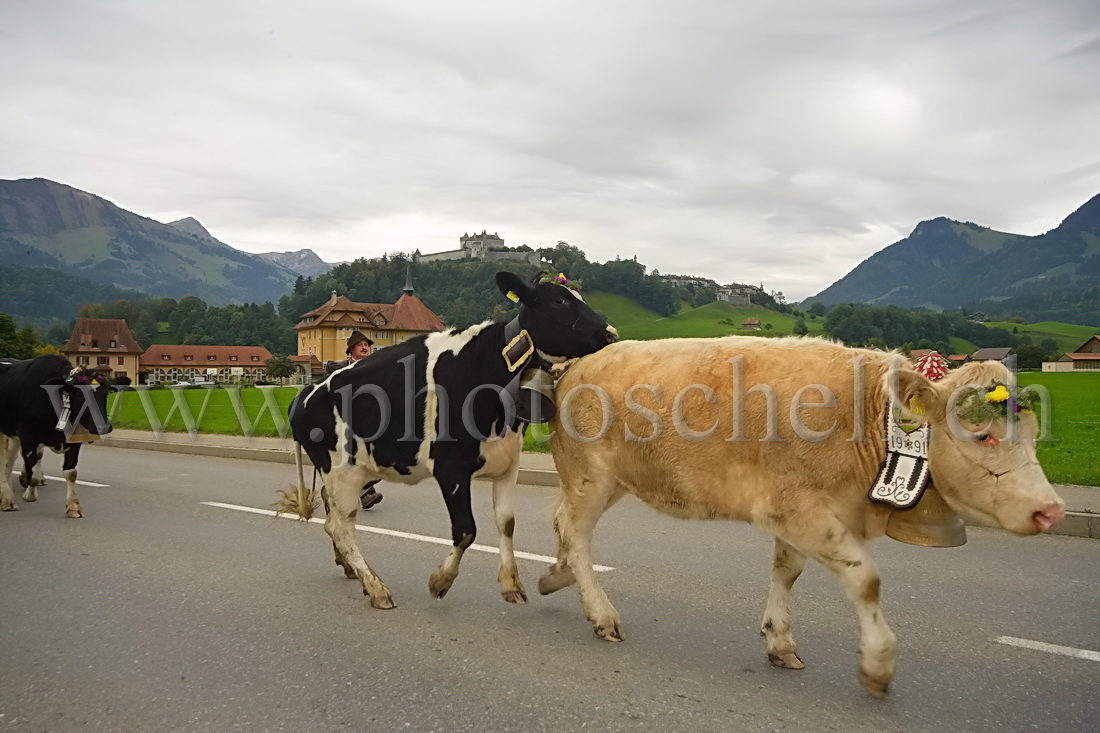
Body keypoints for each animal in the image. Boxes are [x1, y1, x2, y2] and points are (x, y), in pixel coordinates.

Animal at [0, 352, 129, 512]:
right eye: (79, 395)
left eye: (106, 394)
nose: (103, 426)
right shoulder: (28, 436)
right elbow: (32, 469)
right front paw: (28, 493)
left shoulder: (74, 440)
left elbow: (71, 472)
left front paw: (73, 506)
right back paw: (7, 497)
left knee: (9, 459)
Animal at [286, 270, 620, 607]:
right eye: (559, 301)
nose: (611, 334)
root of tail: (304, 394)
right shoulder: (450, 468)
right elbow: (466, 530)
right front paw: (440, 580)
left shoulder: (508, 461)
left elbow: (507, 523)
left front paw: (511, 584)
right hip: (342, 469)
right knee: (340, 526)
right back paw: (376, 587)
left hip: (348, 470)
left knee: (332, 516)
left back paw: (350, 569)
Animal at [541, 334, 1064, 695]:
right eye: (984, 436)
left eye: (1033, 433)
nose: (1051, 511)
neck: (866, 420)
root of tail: (579, 364)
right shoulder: (801, 510)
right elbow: (866, 581)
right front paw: (878, 665)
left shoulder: (796, 512)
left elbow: (787, 571)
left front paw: (779, 640)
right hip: (590, 476)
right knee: (577, 532)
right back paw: (600, 613)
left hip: (612, 480)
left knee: (561, 520)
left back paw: (556, 575)